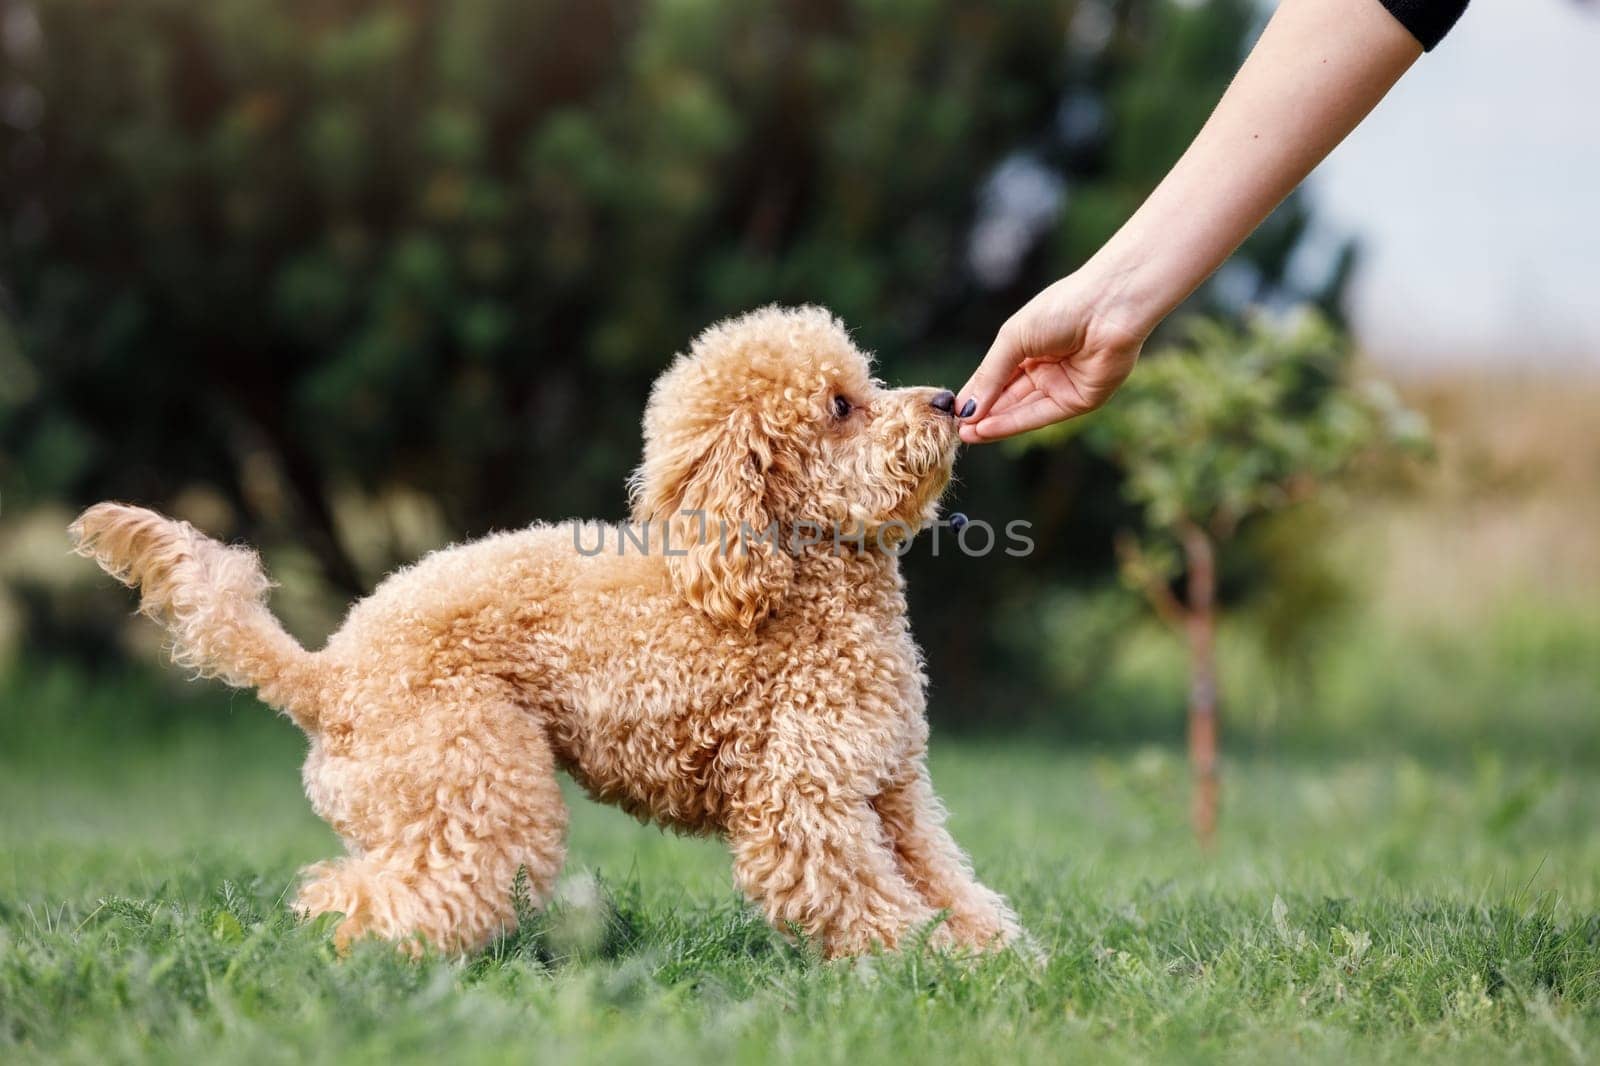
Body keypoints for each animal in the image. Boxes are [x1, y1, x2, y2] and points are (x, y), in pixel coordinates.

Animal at [68, 305, 1017, 953]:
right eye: (840, 407)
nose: (950, 399)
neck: (785, 579)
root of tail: (326, 675)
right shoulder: (804, 801)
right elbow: (867, 900)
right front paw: (923, 967)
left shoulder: (889, 790)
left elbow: (946, 879)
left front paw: (994, 960)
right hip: (478, 778)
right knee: (381, 899)